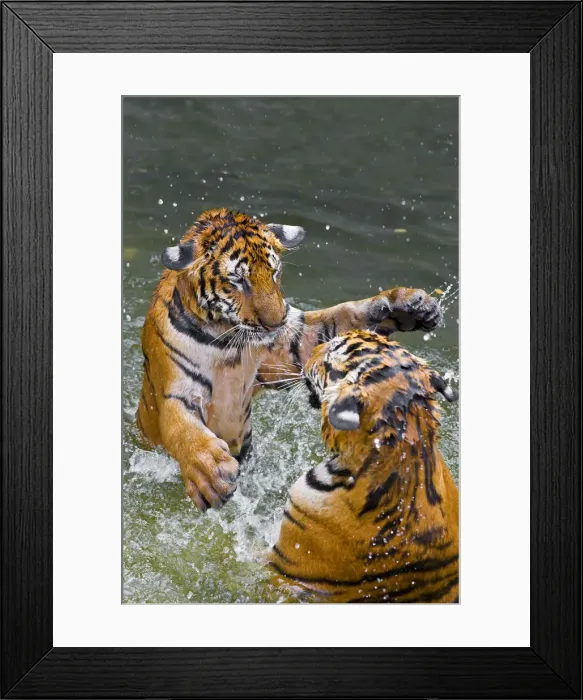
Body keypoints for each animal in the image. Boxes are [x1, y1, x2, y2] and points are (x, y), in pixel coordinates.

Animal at [137, 208, 443, 511]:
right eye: (238, 280)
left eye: (274, 272)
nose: (276, 323)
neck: (228, 339)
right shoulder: (174, 393)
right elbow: (183, 430)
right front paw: (211, 474)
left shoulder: (292, 346)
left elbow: (342, 316)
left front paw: (408, 304)